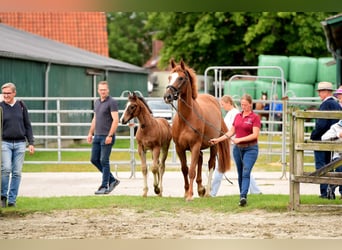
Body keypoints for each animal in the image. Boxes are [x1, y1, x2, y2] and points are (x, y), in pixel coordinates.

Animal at [164, 60, 231, 201]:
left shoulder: (195, 146)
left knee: (211, 164)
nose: (167, 96)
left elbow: (192, 170)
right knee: (200, 160)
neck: (187, 118)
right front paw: (186, 192)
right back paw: (200, 188)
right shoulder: (179, 148)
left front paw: (190, 195)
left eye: (181, 78)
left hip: (213, 145)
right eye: (169, 77)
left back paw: (207, 192)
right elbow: (184, 169)